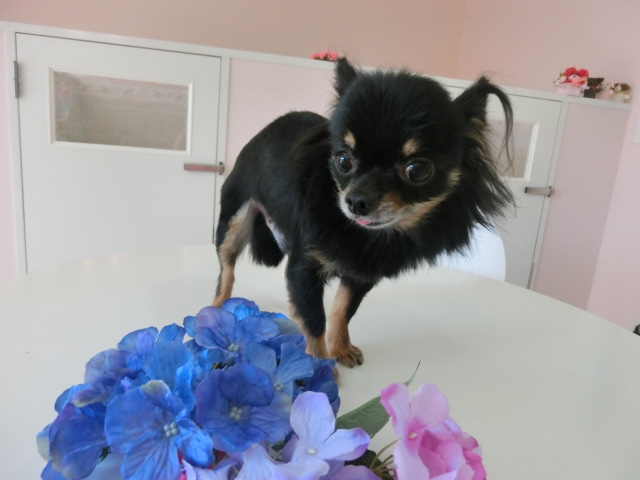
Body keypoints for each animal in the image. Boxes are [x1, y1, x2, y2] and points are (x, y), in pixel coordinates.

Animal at [213, 58, 514, 367]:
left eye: (418, 170)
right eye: (342, 160)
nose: (356, 201)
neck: (366, 235)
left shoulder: (362, 274)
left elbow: (342, 310)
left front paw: (340, 347)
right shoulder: (304, 269)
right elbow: (314, 320)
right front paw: (319, 365)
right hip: (233, 224)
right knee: (226, 273)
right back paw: (217, 311)